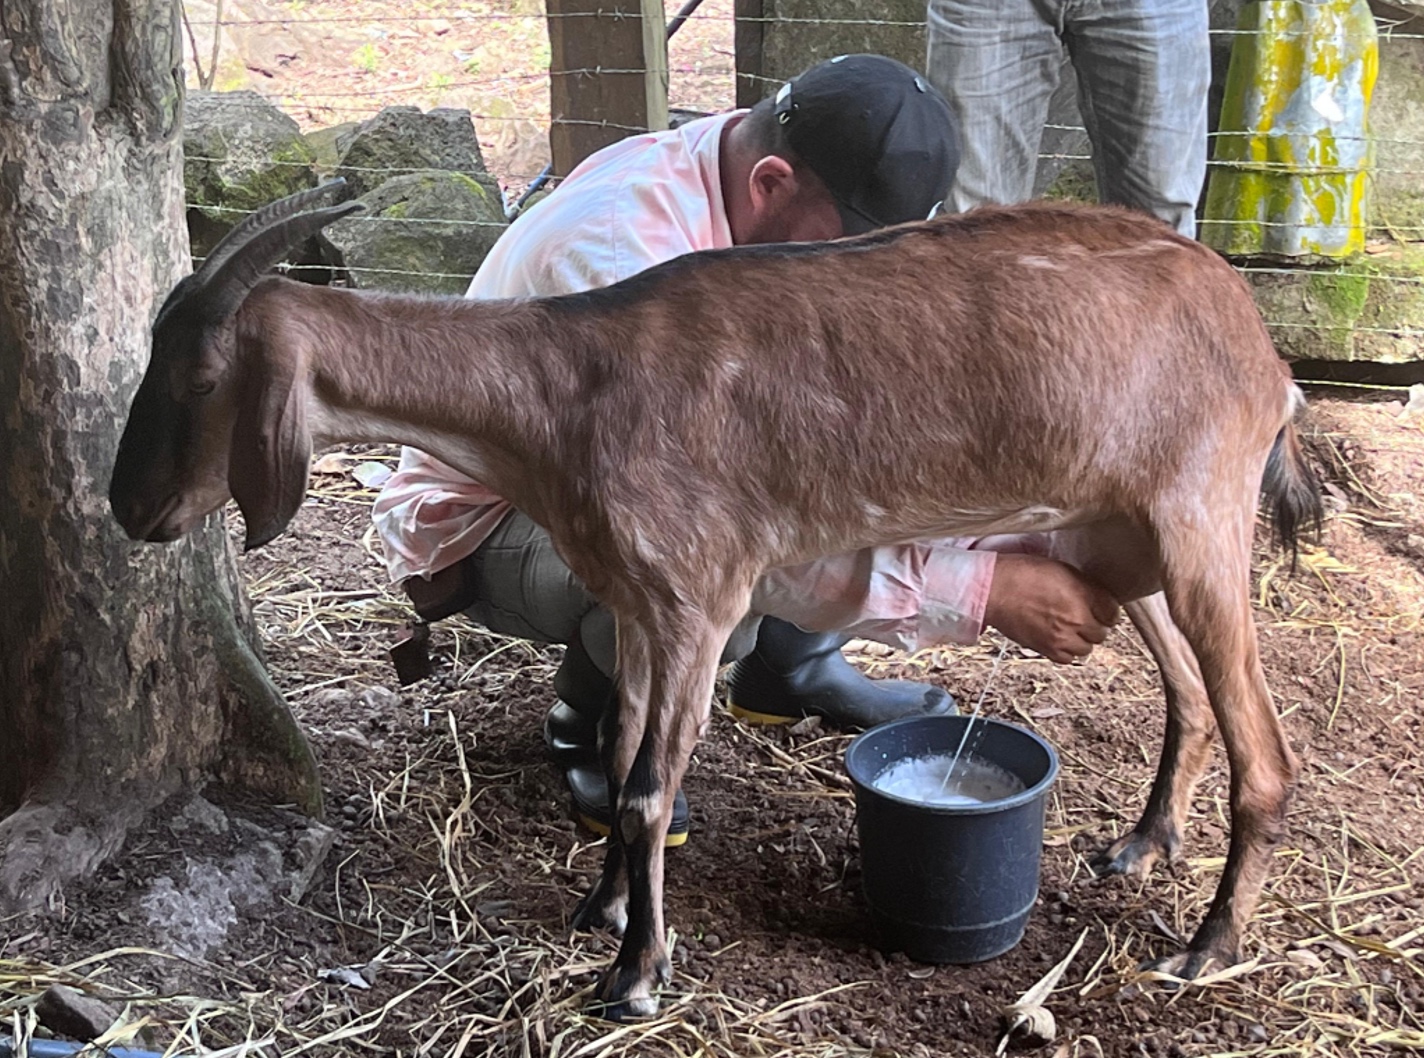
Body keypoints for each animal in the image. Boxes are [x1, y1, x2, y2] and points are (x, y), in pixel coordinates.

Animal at [111, 181, 1321, 1019]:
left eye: (204, 377)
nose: (130, 505)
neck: (566, 392)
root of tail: (1265, 349)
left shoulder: (701, 590)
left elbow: (650, 786)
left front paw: (634, 972)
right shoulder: (637, 600)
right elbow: (624, 744)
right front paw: (602, 905)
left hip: (1200, 514)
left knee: (1267, 746)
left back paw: (1205, 947)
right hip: (1117, 535)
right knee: (1187, 689)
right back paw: (1143, 842)